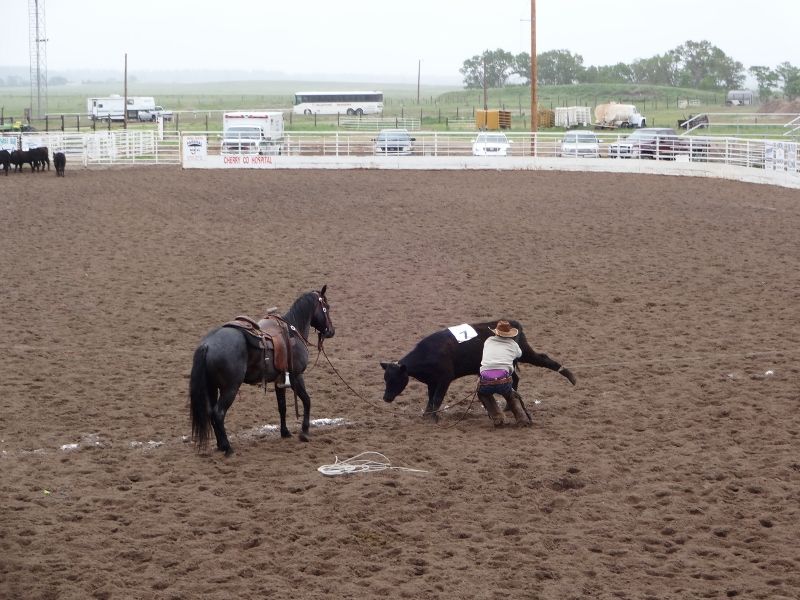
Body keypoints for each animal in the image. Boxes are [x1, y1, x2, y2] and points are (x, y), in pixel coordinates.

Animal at [189, 286, 335, 455]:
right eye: (327, 307)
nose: (331, 331)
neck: (292, 330)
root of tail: (207, 344)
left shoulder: (280, 380)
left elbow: (282, 406)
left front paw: (285, 432)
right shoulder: (296, 376)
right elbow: (307, 400)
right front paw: (304, 432)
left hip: (212, 388)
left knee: (211, 412)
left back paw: (220, 445)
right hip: (230, 388)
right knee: (218, 413)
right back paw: (228, 448)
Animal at [381, 319, 576, 421]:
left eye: (395, 379)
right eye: (385, 378)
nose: (386, 398)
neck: (429, 352)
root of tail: (515, 323)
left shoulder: (445, 379)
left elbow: (437, 399)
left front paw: (434, 419)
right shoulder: (432, 382)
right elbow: (430, 400)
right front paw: (427, 416)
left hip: (524, 353)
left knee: (543, 359)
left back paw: (571, 376)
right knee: (516, 380)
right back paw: (507, 407)